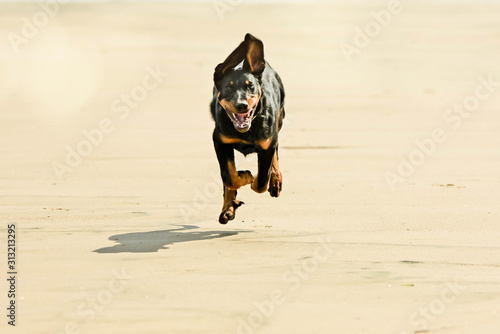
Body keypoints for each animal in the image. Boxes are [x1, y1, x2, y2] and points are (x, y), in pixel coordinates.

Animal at [210, 33, 286, 224]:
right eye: (228, 87)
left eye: (250, 85)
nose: (242, 105)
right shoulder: (219, 141)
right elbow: (229, 176)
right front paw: (244, 177)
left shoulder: (267, 144)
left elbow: (261, 181)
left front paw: (258, 179)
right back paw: (227, 209)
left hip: (280, 119)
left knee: (276, 151)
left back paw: (275, 180)